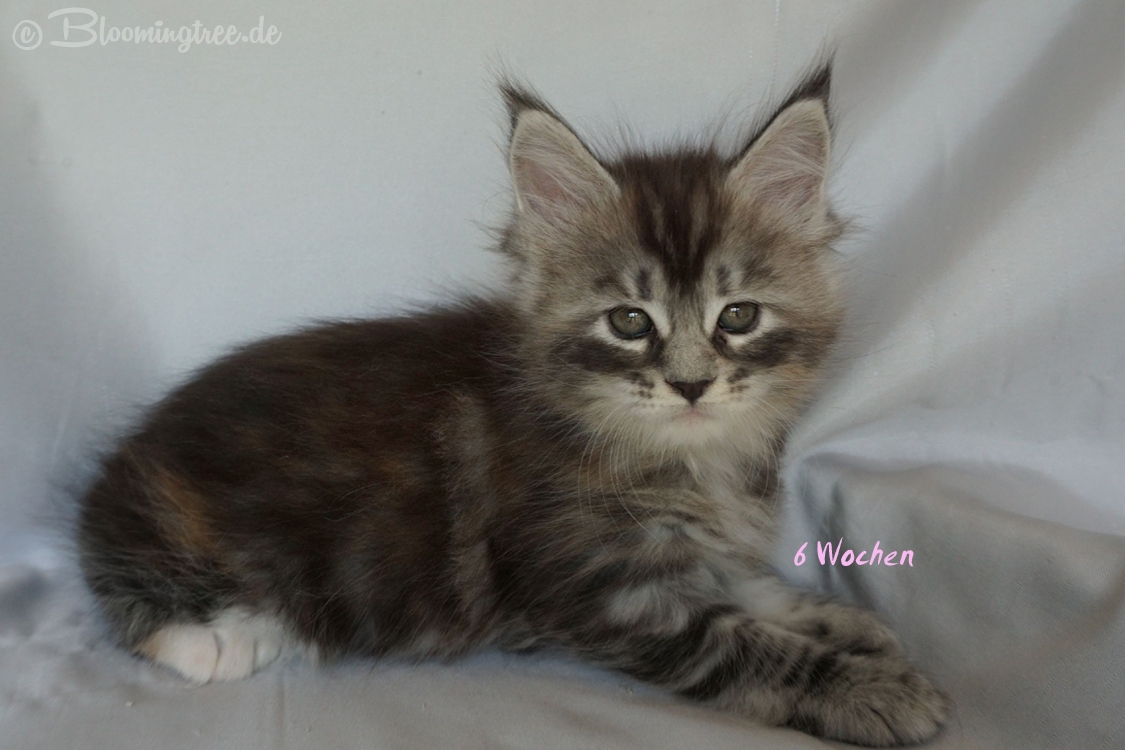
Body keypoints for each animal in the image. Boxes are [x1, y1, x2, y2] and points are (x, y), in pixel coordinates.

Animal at [77, 64, 947, 746]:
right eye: (629, 323)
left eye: (737, 317)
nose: (691, 383)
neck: (684, 460)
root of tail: (128, 453)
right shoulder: (601, 588)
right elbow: (742, 643)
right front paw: (872, 690)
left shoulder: (693, 551)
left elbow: (755, 586)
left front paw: (851, 624)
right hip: (173, 526)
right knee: (125, 585)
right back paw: (224, 637)